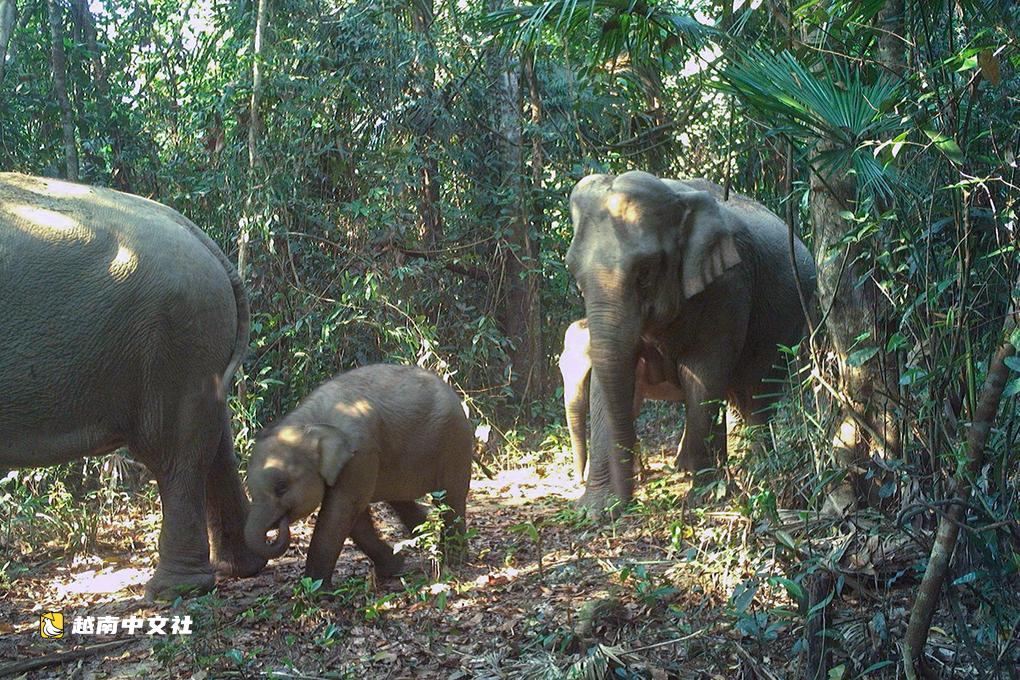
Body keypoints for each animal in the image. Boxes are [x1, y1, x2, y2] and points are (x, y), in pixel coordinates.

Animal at [0, 173, 265, 599]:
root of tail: (201, 237)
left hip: (172, 337)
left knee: (171, 451)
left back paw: (173, 590)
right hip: (197, 342)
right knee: (214, 441)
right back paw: (239, 567)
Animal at [244, 364, 473, 587]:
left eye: (281, 486)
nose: (280, 525)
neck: (308, 423)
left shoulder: (360, 455)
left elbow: (341, 511)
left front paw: (316, 589)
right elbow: (354, 517)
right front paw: (394, 568)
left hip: (455, 441)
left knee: (451, 497)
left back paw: (453, 559)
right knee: (402, 501)